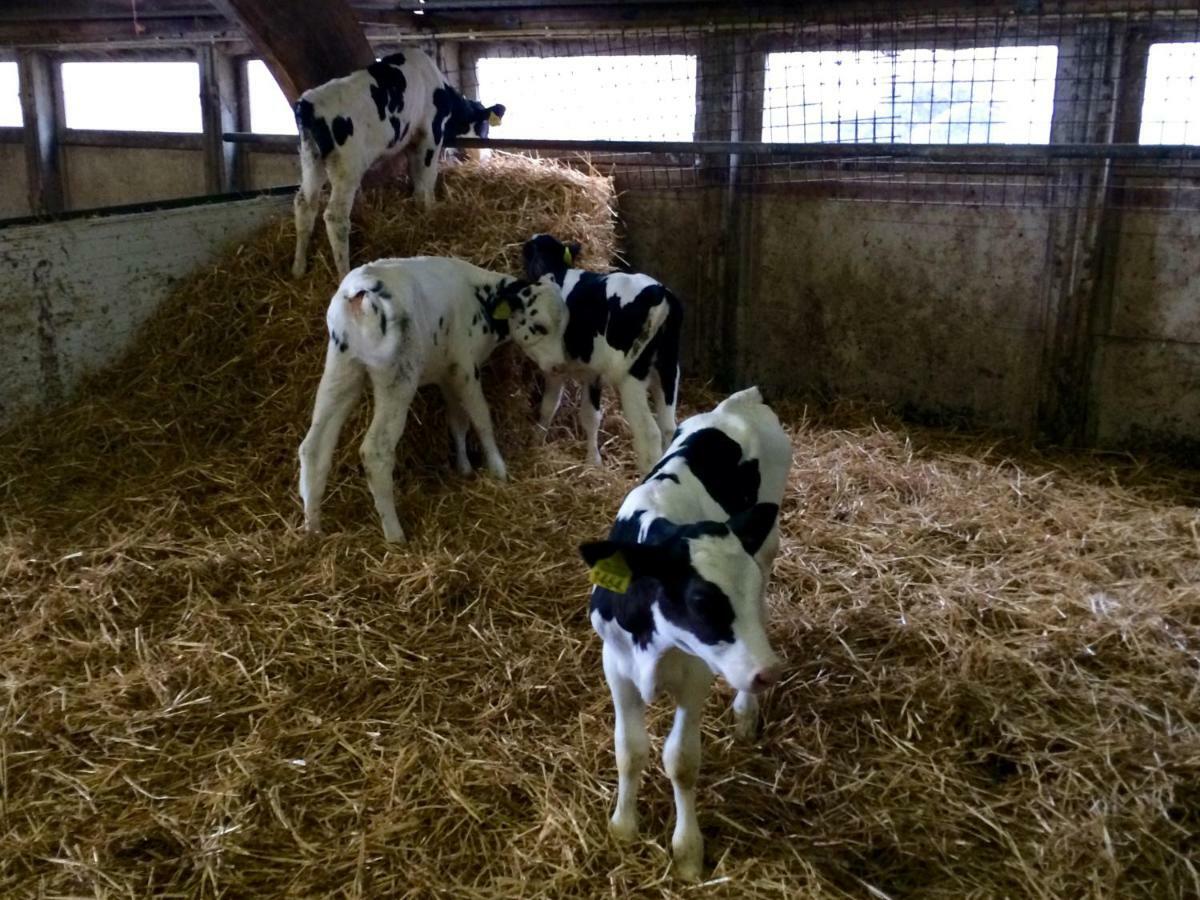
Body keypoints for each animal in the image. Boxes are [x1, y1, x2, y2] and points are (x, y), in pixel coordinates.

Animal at [292, 51, 504, 278]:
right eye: (484, 125)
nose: (484, 154)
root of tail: (308, 104)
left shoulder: (411, 143)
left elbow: (417, 179)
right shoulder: (430, 135)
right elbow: (427, 181)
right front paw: (431, 211)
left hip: (311, 159)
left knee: (304, 203)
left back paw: (298, 268)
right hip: (347, 166)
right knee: (335, 216)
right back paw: (343, 273)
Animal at [511, 234, 686, 472]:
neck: (557, 271)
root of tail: (660, 293)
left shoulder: (556, 367)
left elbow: (549, 405)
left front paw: (538, 438)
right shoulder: (592, 372)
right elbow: (591, 416)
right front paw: (593, 460)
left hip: (632, 378)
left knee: (649, 434)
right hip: (668, 369)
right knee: (669, 427)